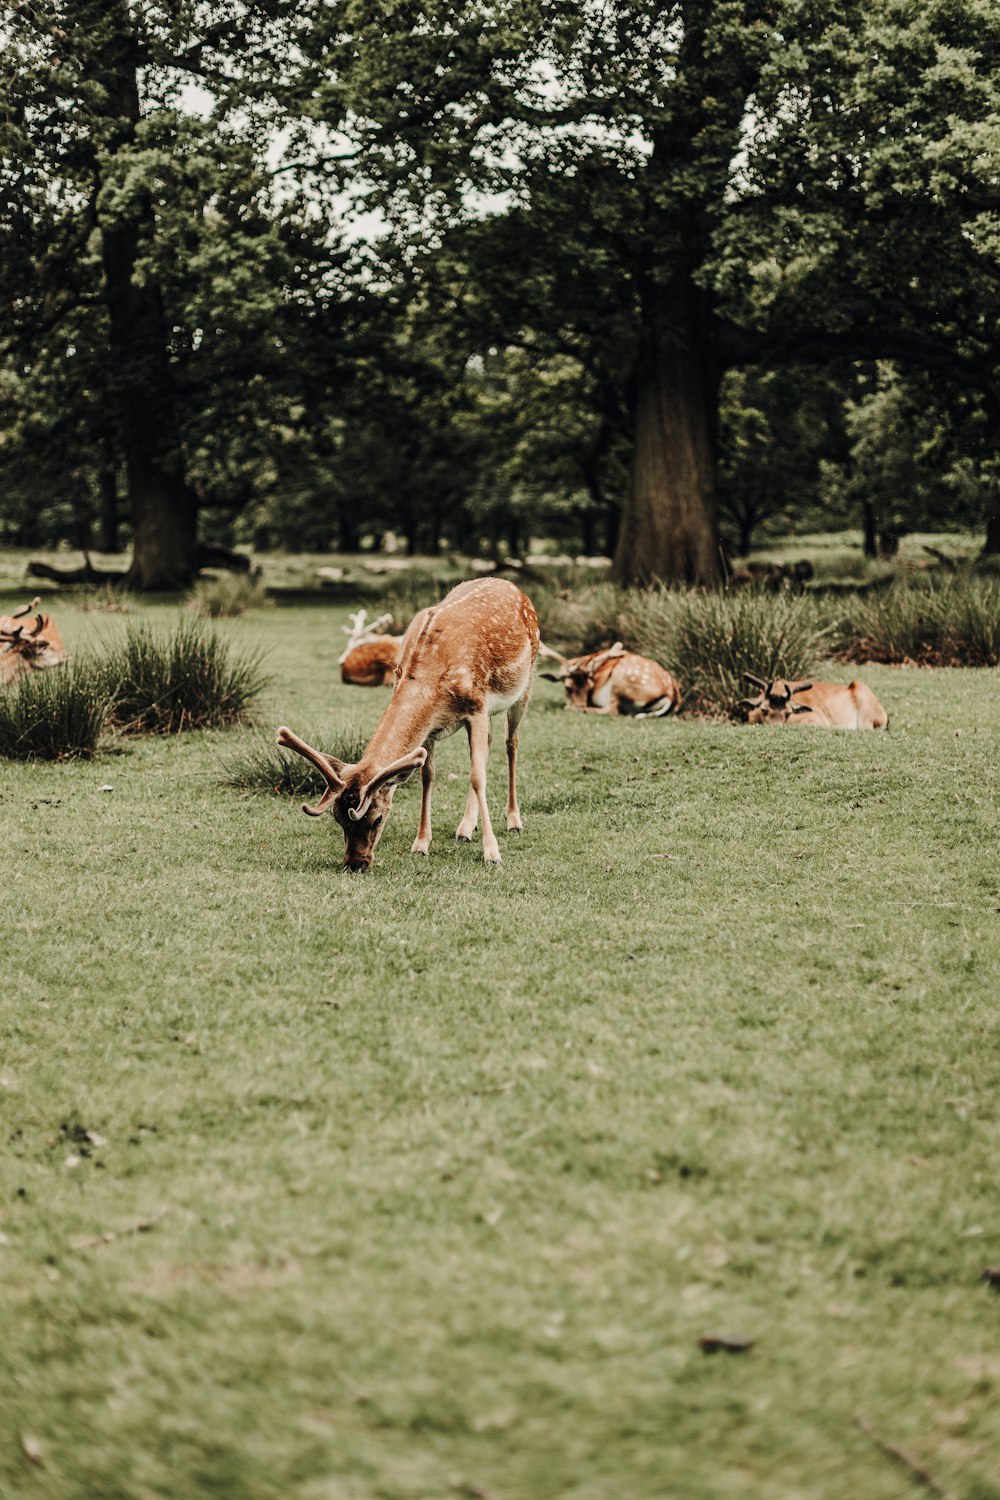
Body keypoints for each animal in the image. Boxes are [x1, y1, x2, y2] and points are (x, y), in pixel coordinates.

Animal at [277, 579, 542, 876]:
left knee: (511, 744)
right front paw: (421, 844)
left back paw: (513, 821)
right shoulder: (432, 728)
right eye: (337, 819)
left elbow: (477, 777)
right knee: (490, 745)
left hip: (525, 684)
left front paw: (492, 852)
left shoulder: (477, 708)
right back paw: (465, 828)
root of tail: (514, 587)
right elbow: (427, 775)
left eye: (377, 818)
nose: (355, 863)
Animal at [539, 642, 680, 717]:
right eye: (568, 687)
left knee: (613, 710)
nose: (581, 704)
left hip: (621, 680)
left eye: (590, 687)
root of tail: (670, 694)